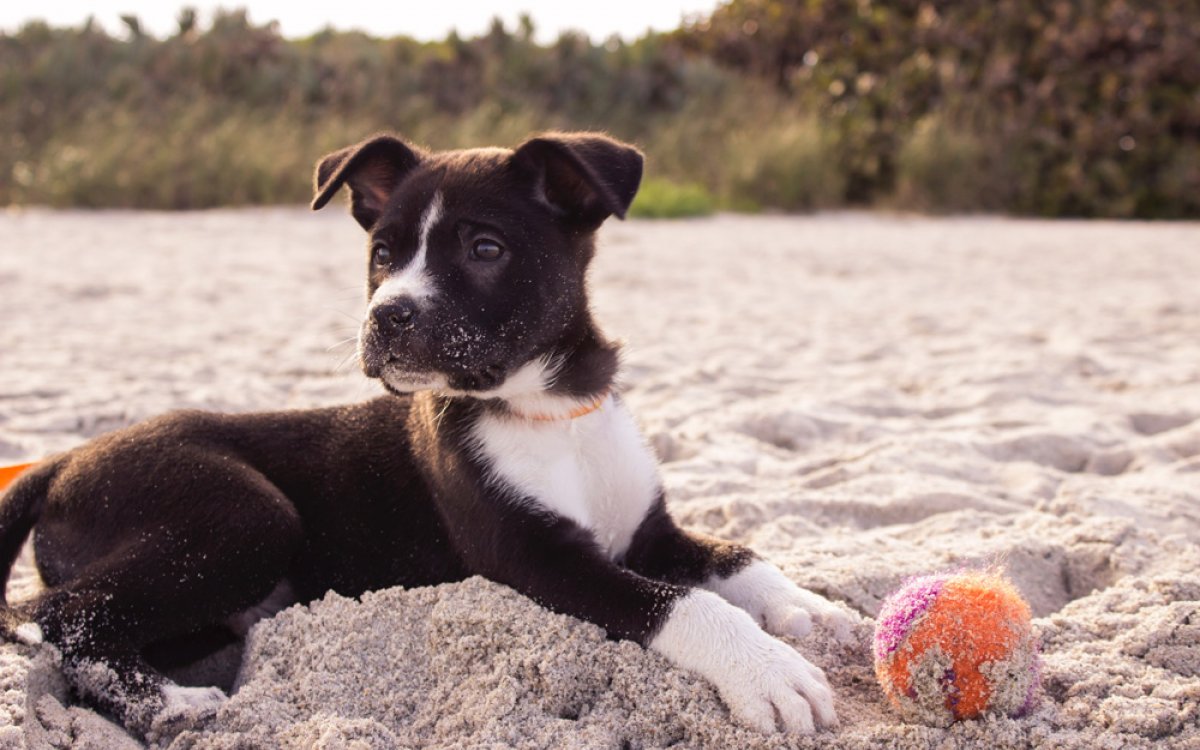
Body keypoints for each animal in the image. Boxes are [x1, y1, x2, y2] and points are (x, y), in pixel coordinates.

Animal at [0, 133, 849, 739]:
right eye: (382, 254)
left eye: (485, 249)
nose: (386, 317)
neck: (547, 410)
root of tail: (65, 460)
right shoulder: (534, 558)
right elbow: (678, 602)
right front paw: (768, 672)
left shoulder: (648, 531)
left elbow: (736, 555)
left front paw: (810, 607)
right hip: (246, 515)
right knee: (57, 617)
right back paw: (173, 706)